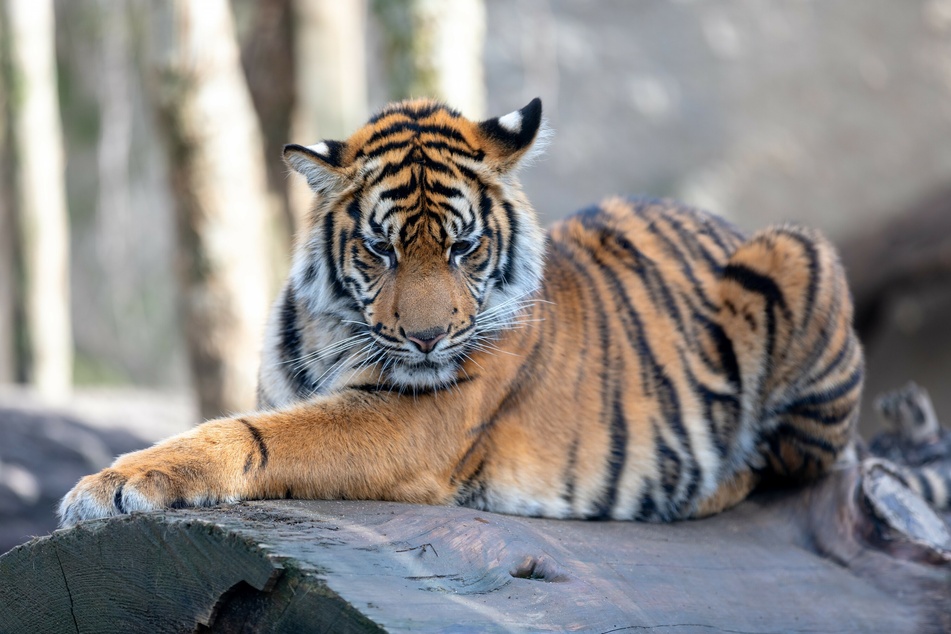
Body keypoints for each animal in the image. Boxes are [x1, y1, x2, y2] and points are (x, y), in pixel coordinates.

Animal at [59, 97, 892, 524]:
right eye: (382, 250)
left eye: (463, 248)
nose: (429, 340)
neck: (333, 328)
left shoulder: (414, 416)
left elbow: (259, 437)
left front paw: (114, 485)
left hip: (795, 251)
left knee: (785, 467)